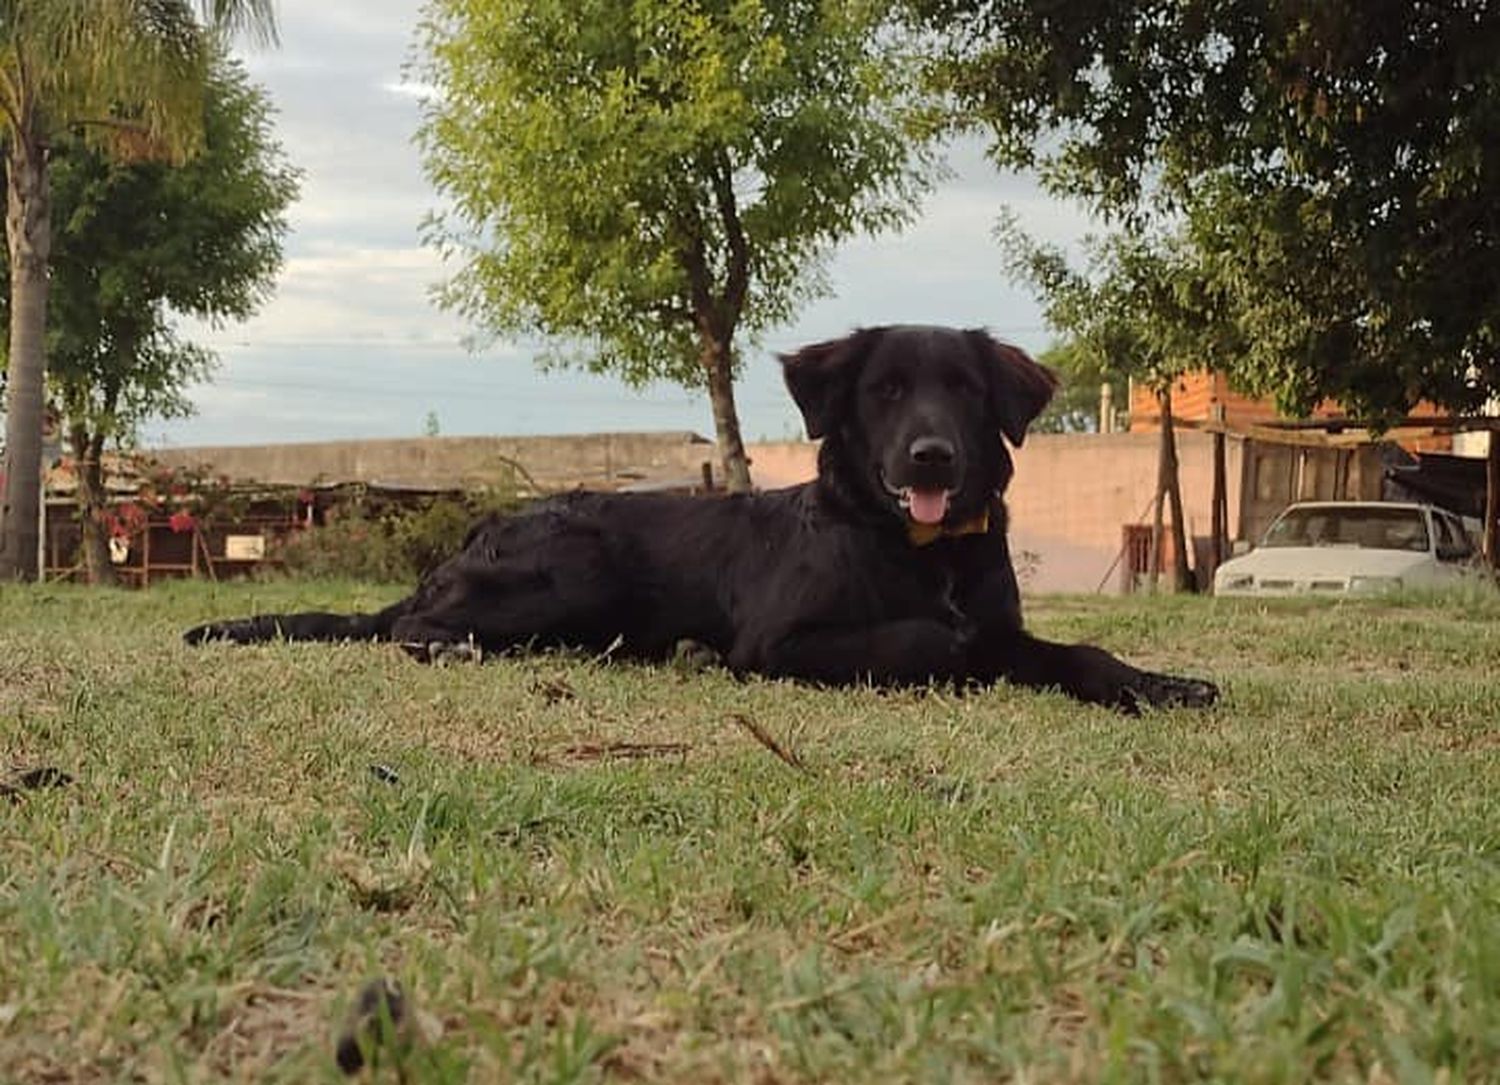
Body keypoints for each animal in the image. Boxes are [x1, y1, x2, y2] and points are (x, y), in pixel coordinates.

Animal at [184, 327, 1218, 717]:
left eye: (963, 390)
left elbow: (1074, 649)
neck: (918, 552)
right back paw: (451, 644)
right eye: (884, 392)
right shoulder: (782, 639)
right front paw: (953, 651)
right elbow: (930, 638)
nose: (933, 457)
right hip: (575, 564)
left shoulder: (1008, 623)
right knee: (412, 625)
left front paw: (1158, 681)